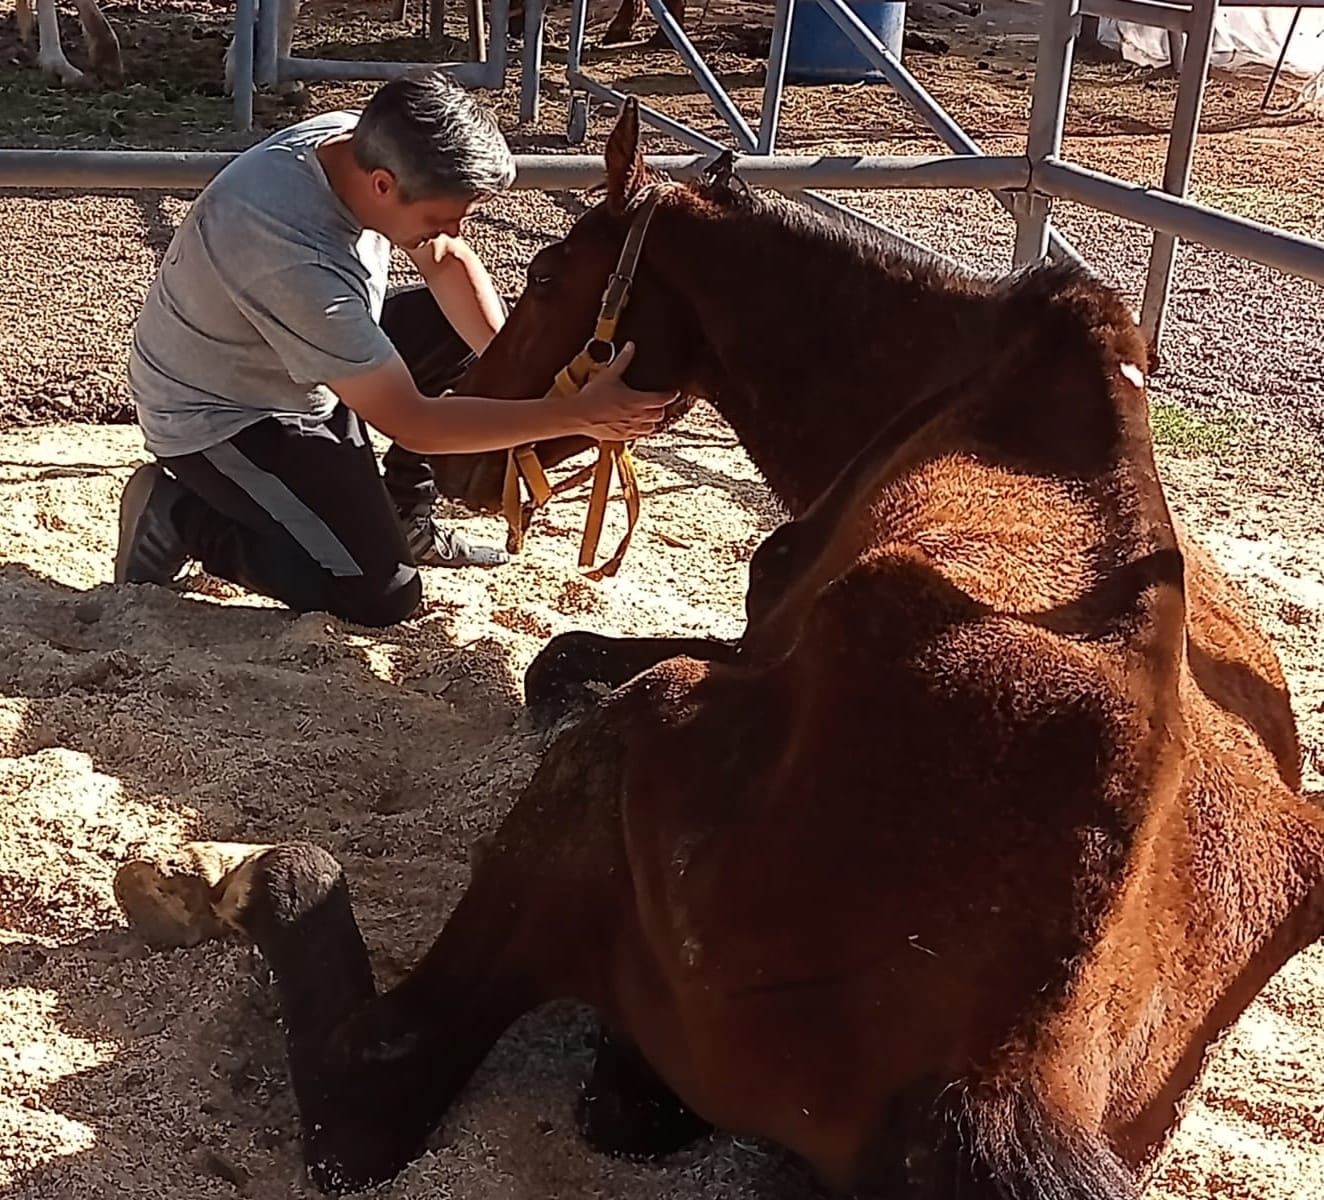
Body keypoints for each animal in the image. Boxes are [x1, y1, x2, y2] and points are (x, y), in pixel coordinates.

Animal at [116, 102, 1324, 1197]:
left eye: (548, 272)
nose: (458, 444)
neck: (961, 389)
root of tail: (1009, 1062)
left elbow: (556, 659)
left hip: (634, 733)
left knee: (373, 1093)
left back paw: (244, 882)